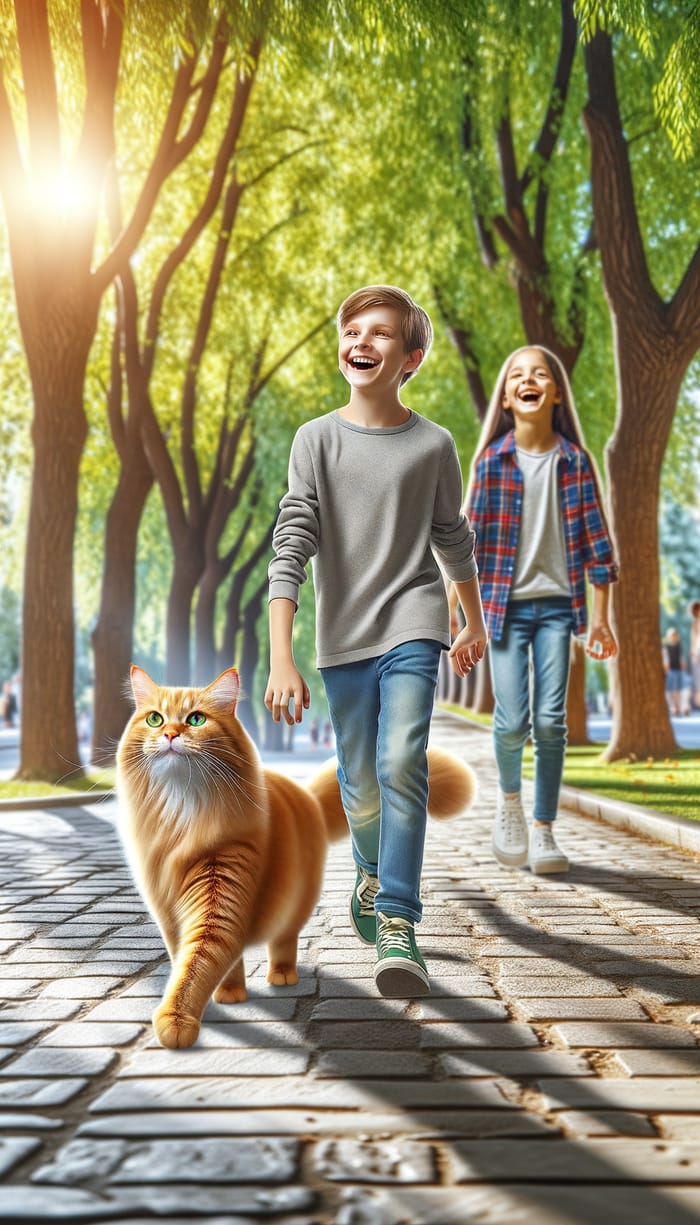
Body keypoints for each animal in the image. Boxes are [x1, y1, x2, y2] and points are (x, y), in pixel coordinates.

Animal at [117, 666, 475, 1048]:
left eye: (196, 719)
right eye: (155, 719)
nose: (169, 734)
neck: (181, 815)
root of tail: (307, 796)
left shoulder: (221, 891)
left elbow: (196, 964)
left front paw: (176, 1019)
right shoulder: (167, 911)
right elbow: (193, 960)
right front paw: (223, 995)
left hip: (294, 906)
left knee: (284, 942)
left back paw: (283, 975)